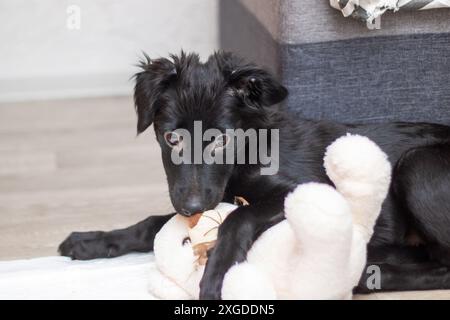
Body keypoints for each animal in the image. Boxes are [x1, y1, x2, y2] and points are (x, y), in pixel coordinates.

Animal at [59, 51, 450, 298]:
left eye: (222, 140)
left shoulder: (311, 189)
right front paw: (93, 240)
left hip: (416, 166)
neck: (246, 153)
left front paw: (217, 276)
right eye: (171, 137)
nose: (191, 208)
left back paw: (368, 275)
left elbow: (240, 217)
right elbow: (152, 223)